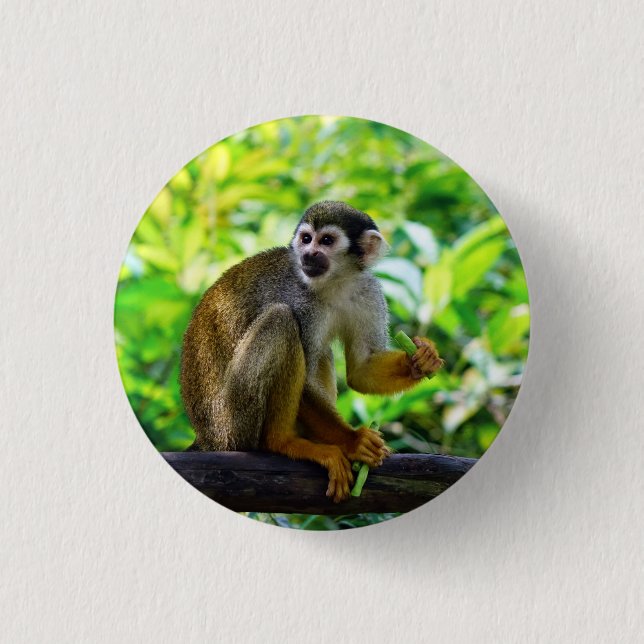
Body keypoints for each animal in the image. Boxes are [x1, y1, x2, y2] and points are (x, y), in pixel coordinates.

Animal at [180, 201, 443, 502]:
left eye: (326, 241)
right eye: (306, 239)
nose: (308, 253)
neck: (335, 283)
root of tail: (206, 437)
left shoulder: (368, 292)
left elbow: (361, 371)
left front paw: (421, 360)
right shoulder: (300, 300)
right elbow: (305, 383)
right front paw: (354, 441)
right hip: (234, 423)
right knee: (281, 320)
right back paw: (283, 442)